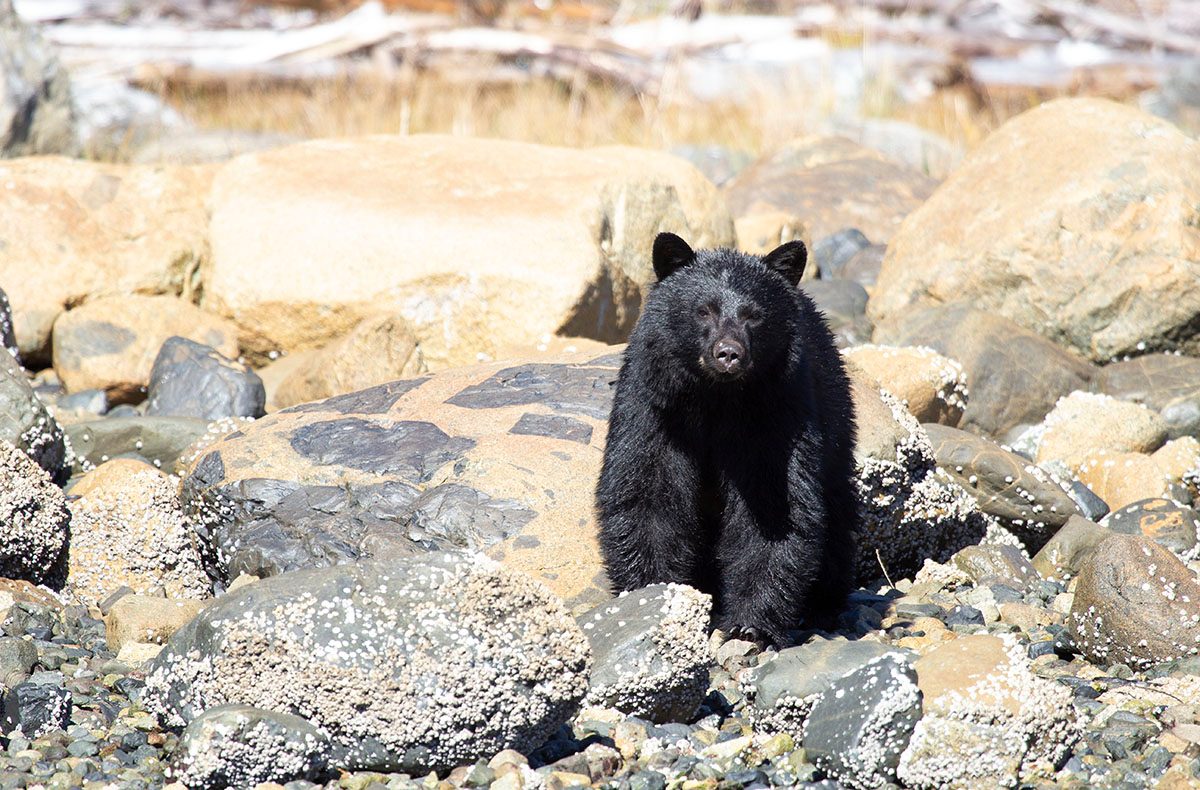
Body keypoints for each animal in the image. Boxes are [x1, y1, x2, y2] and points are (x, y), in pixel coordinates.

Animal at [595, 232, 859, 647]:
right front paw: (650, 596)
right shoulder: (655, 409)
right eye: (704, 310)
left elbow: (771, 509)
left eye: (754, 315)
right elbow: (648, 495)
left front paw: (749, 625)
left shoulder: (775, 416)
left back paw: (824, 605)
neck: (716, 398)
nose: (729, 354)